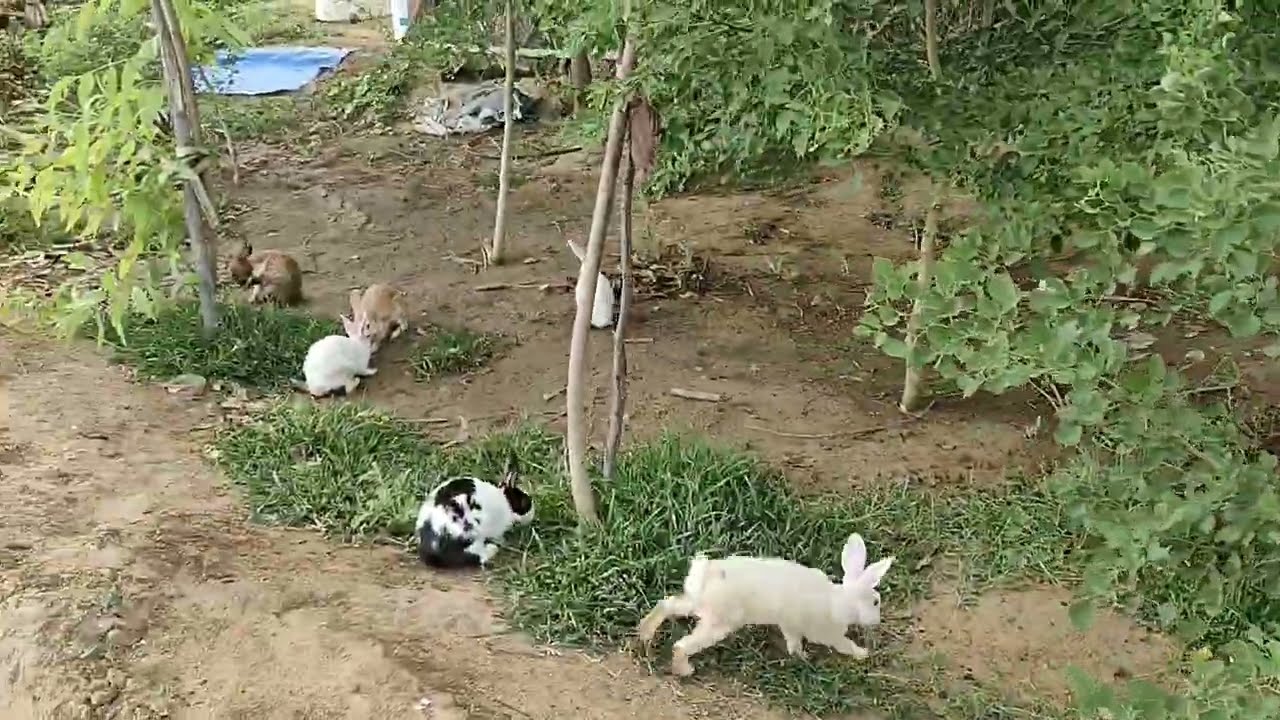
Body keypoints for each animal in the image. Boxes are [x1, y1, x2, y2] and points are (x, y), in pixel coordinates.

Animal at [636, 533, 894, 677]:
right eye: (875, 602)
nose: (877, 620)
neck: (840, 601)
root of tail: (704, 575)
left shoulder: (791, 625)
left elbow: (793, 643)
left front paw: (801, 657)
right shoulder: (826, 632)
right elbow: (844, 644)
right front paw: (862, 654)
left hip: (694, 604)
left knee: (666, 605)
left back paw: (644, 633)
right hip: (720, 622)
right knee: (681, 645)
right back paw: (685, 671)